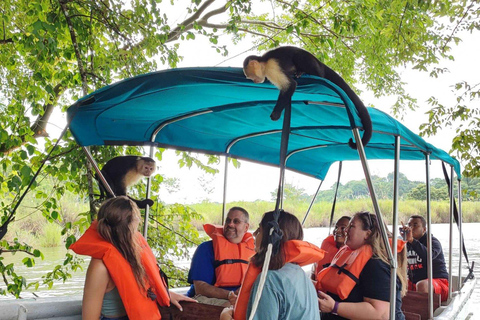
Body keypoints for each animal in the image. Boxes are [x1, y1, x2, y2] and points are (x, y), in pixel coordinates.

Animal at [242, 46, 374, 149]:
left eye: (251, 76)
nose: (254, 81)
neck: (264, 62)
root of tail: (320, 63)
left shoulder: (272, 67)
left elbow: (290, 85)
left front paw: (276, 113)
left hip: (312, 64)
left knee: (300, 58)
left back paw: (305, 72)